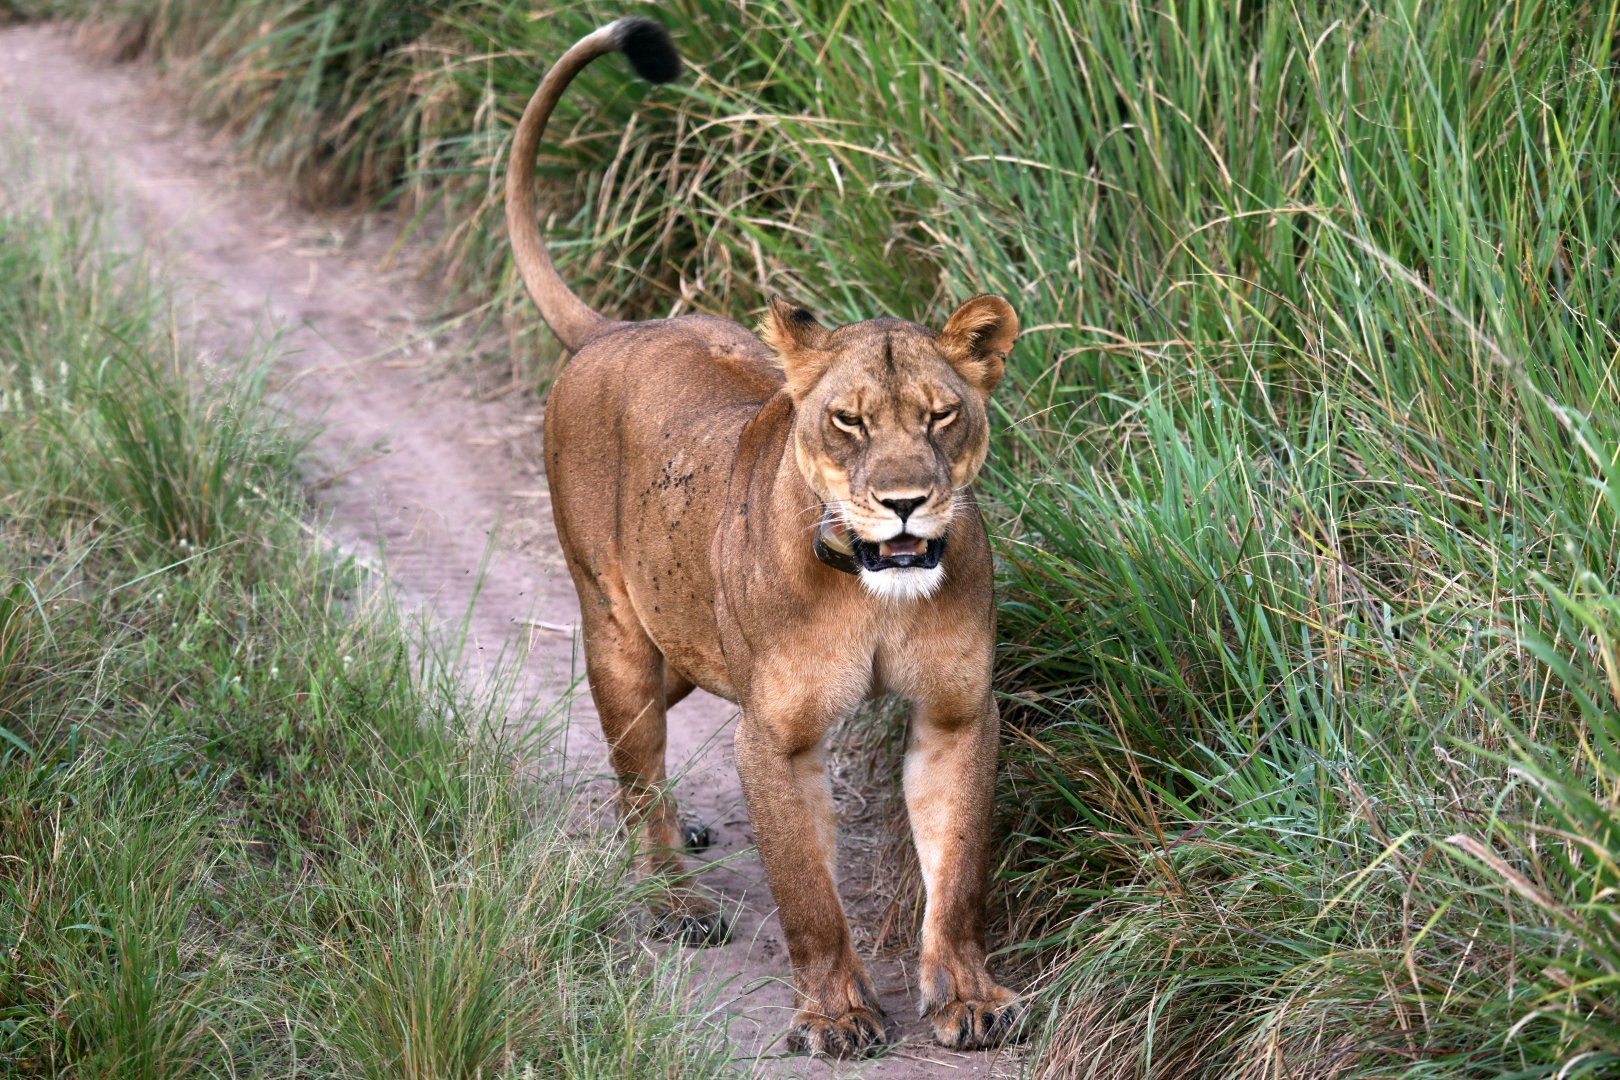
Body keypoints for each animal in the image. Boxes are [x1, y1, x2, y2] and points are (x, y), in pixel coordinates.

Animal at [505, 17, 1022, 1057]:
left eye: (942, 416)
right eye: (849, 421)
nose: (904, 504)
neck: (872, 593)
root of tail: (613, 328)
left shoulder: (956, 714)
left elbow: (957, 876)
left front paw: (968, 998)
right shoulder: (773, 735)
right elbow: (807, 896)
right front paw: (839, 1013)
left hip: (682, 647)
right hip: (616, 628)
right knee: (633, 763)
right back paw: (671, 895)